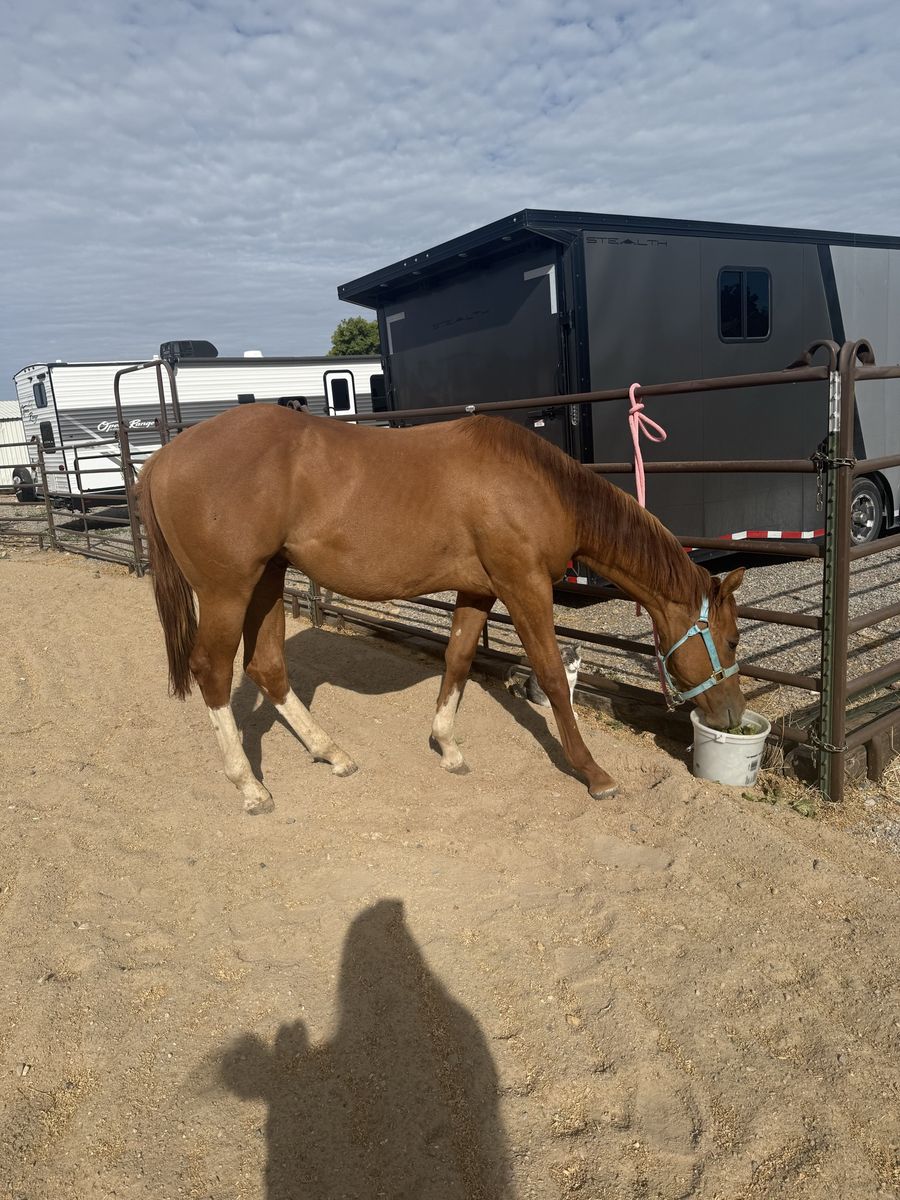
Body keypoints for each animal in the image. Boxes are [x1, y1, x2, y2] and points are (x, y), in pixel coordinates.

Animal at [138, 404, 745, 813]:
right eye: (734, 639)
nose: (732, 717)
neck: (535, 485)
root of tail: (163, 458)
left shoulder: (480, 590)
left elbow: (458, 659)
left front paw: (448, 746)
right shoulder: (523, 586)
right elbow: (551, 675)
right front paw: (594, 773)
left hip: (267, 580)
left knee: (266, 667)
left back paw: (331, 753)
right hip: (227, 590)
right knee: (212, 671)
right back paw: (249, 784)